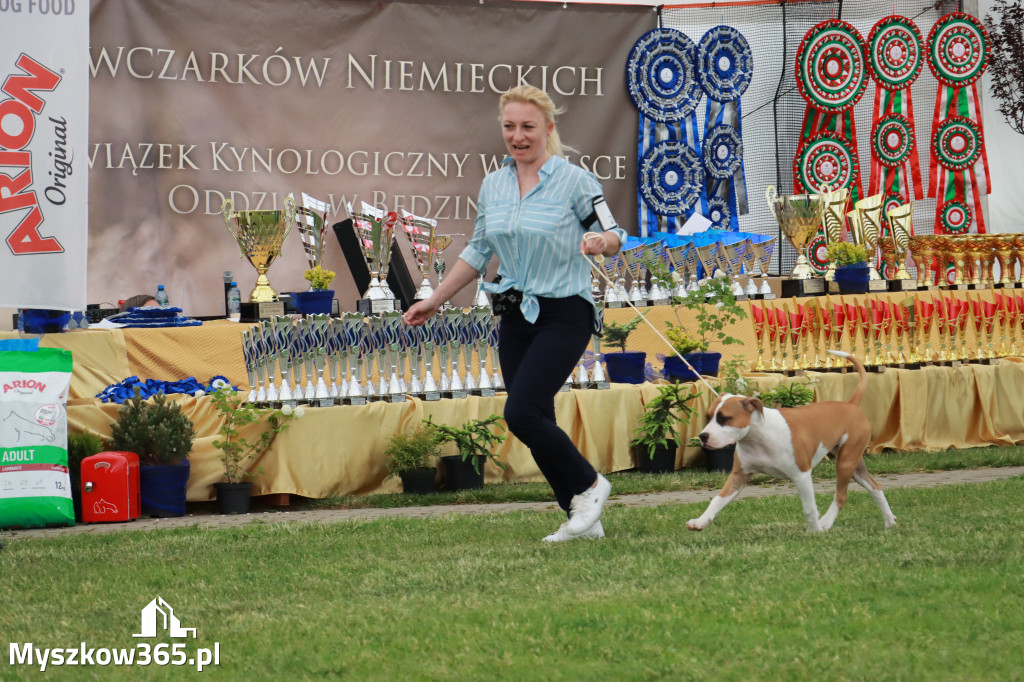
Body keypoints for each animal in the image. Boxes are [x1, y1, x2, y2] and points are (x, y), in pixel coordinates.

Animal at [688, 350, 897, 532]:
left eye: (724, 418)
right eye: (708, 417)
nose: (703, 436)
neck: (758, 437)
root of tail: (851, 405)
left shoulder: (801, 475)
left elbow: (809, 508)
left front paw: (815, 531)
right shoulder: (738, 476)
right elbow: (718, 499)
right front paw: (700, 521)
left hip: (845, 462)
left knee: (842, 495)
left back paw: (825, 523)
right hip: (854, 463)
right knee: (875, 487)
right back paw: (889, 521)